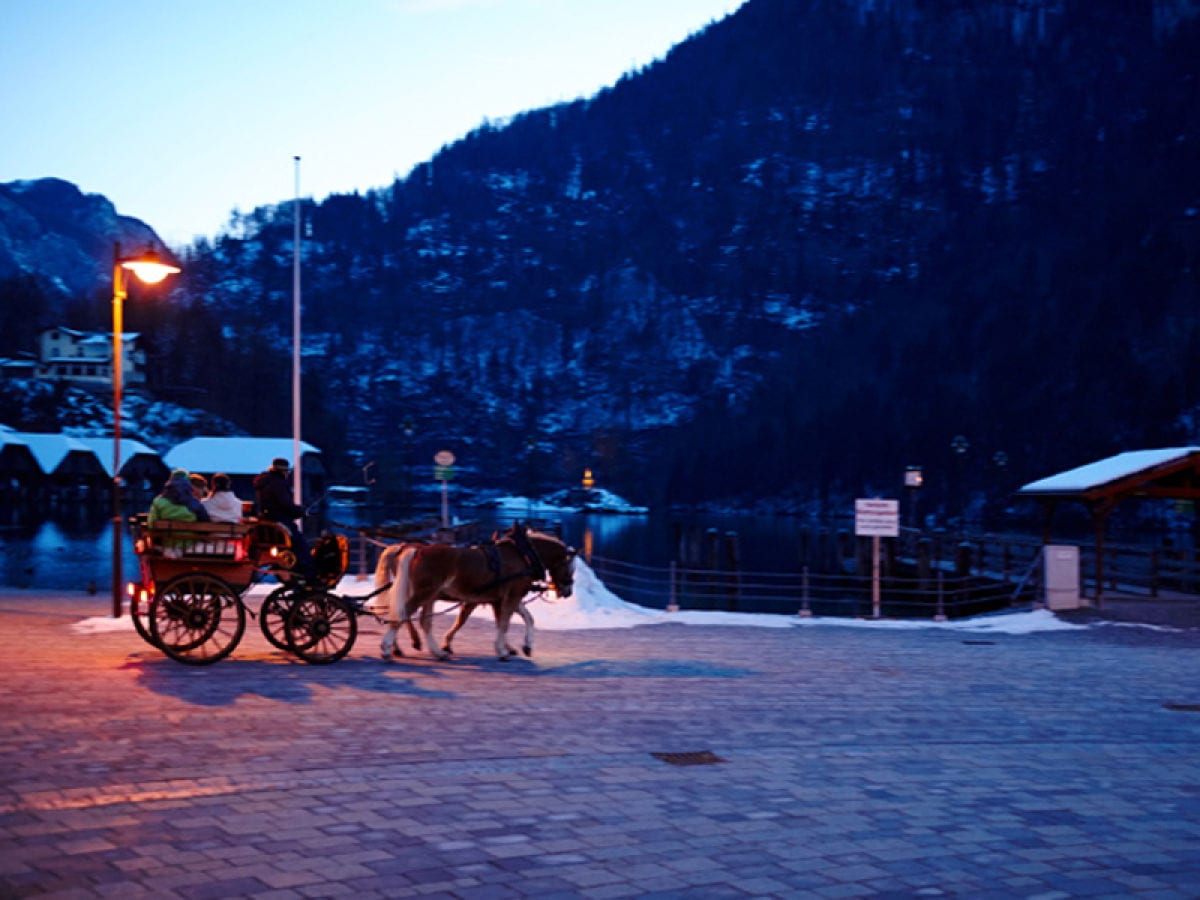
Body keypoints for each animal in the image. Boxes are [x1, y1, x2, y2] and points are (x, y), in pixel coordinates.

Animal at [376, 528, 578, 662]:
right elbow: (503, 623)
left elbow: (524, 619)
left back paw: (433, 651)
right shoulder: (511, 596)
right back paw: (388, 648)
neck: (523, 555)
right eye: (571, 567)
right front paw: (503, 651)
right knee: (402, 614)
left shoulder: (502, 598)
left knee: (421, 621)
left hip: (428, 595)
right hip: (423, 592)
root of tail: (417, 550)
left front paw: (524, 646)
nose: (567, 591)